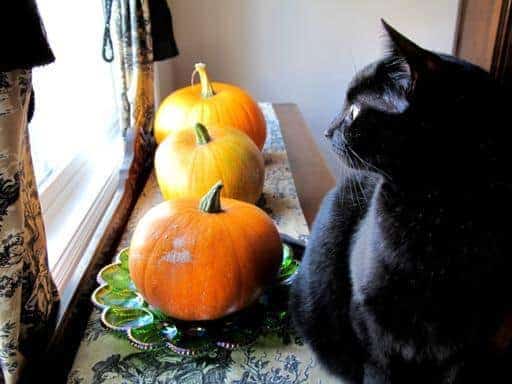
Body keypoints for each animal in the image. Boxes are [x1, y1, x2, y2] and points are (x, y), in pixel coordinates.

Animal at [290, 21, 512, 384]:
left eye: (354, 110)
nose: (326, 131)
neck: (438, 216)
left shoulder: (469, 341)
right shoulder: (369, 321)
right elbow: (378, 370)